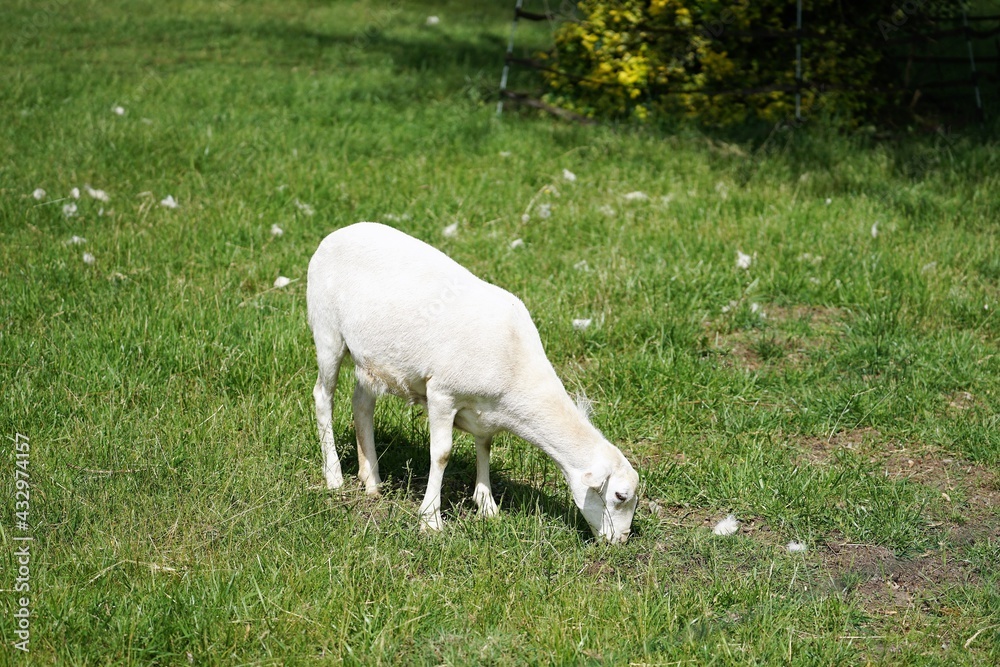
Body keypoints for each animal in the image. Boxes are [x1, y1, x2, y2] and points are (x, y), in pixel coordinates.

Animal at [306, 222, 639, 542]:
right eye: (620, 496)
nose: (621, 541)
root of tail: (337, 234)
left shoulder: (485, 412)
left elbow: (486, 445)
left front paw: (487, 504)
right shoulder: (442, 393)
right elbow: (441, 454)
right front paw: (430, 520)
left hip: (372, 359)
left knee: (362, 404)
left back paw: (372, 480)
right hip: (327, 332)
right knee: (323, 397)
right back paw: (334, 476)